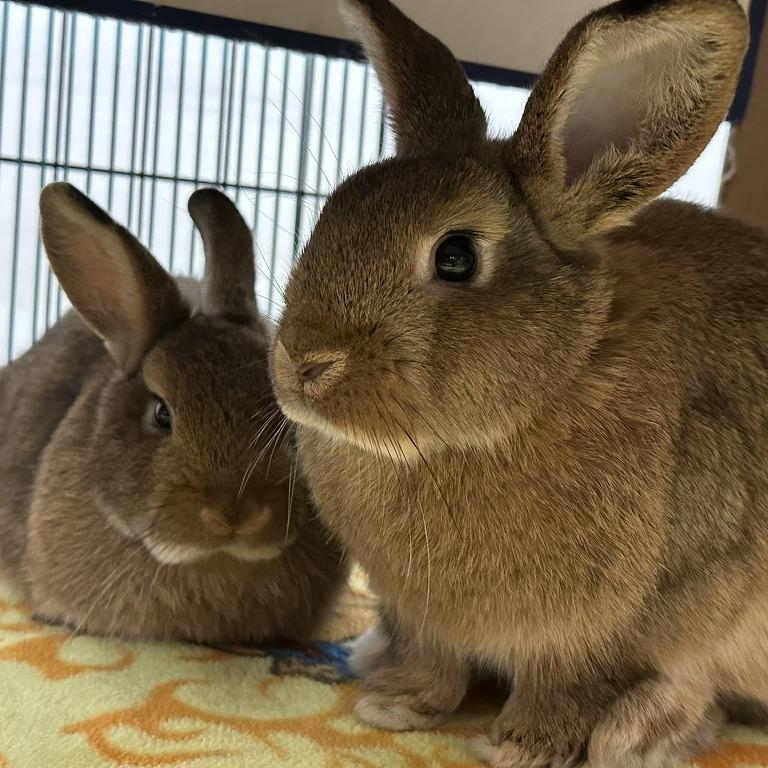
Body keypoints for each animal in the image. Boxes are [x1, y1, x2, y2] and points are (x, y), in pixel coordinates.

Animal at [269, 0, 768, 765]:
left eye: (455, 257)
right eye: (331, 212)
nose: (303, 360)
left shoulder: (630, 623)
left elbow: (583, 684)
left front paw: (528, 745)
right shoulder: (423, 618)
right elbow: (434, 664)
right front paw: (396, 703)